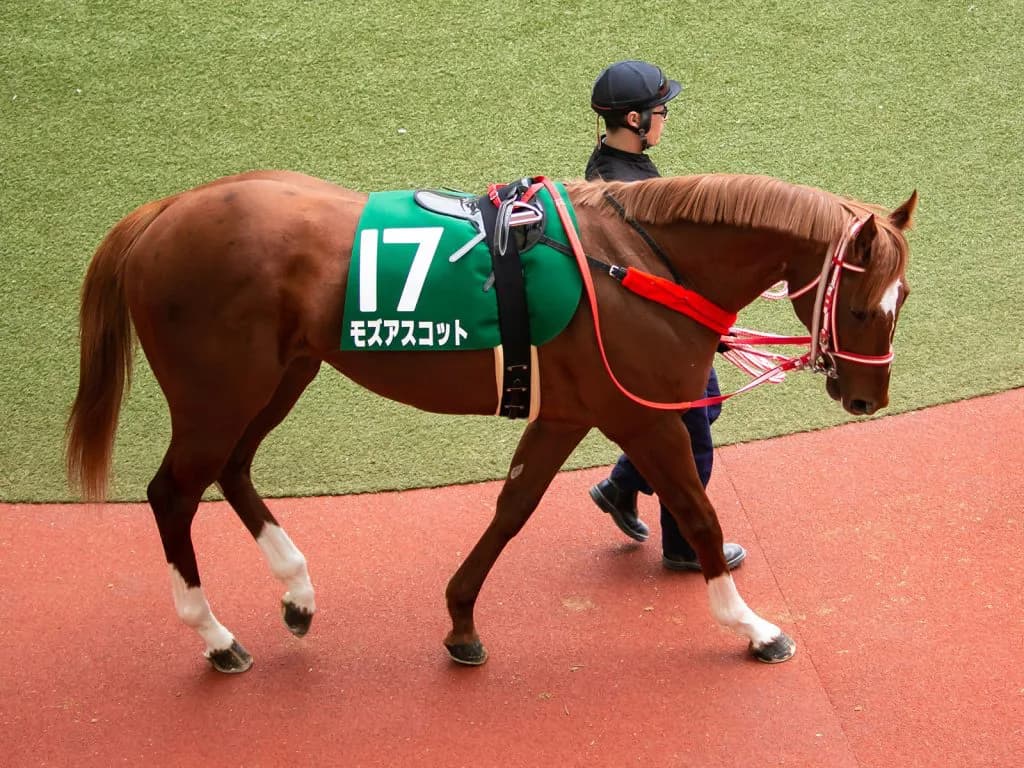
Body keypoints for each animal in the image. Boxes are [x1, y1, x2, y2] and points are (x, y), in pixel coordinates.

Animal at [65, 169, 916, 674]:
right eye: (865, 306)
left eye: (902, 299)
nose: (868, 398)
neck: (639, 263)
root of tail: (160, 213)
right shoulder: (641, 417)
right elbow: (699, 513)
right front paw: (753, 626)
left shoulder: (567, 413)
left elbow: (512, 507)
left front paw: (460, 620)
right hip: (219, 392)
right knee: (174, 492)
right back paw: (215, 637)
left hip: (282, 375)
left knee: (232, 470)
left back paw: (297, 594)